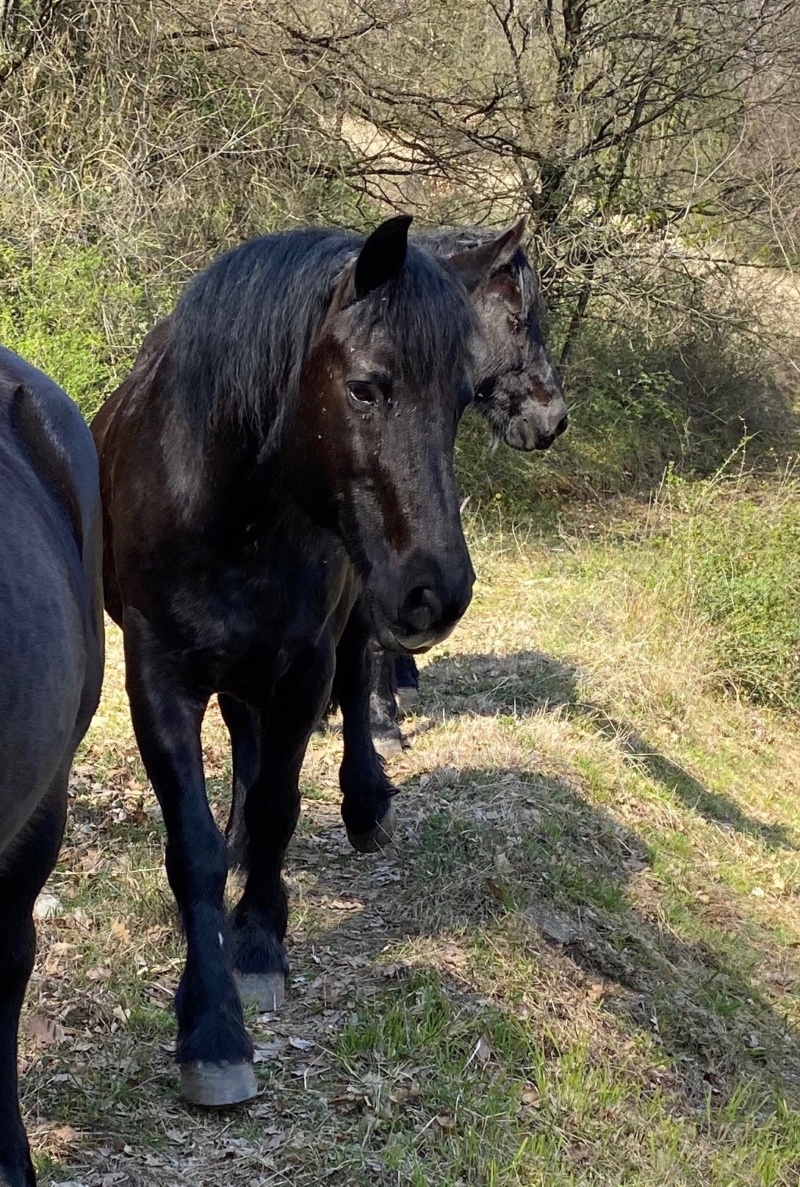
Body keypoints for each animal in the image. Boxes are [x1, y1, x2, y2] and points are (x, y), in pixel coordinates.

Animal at [90, 216, 508, 1111]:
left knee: (353, 689)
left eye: (462, 400)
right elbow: (195, 842)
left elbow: (283, 799)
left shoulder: (304, 663)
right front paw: (212, 1024)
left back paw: (364, 801)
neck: (226, 502)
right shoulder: (158, 677)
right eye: (366, 388)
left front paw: (257, 941)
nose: (438, 589)